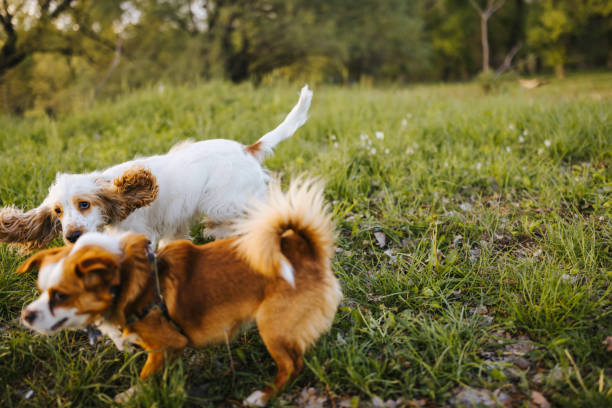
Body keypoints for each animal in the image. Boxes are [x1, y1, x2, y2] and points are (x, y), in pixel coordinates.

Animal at [0, 85, 314, 249]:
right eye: (57, 212)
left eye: (84, 204)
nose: (71, 237)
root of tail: (247, 148)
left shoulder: (141, 235)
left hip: (223, 203)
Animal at [19, 178, 342, 404]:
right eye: (41, 290)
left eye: (60, 295)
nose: (26, 315)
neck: (129, 279)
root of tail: (306, 253)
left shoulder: (167, 343)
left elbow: (146, 374)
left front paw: (130, 395)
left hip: (272, 325)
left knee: (292, 365)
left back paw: (262, 396)